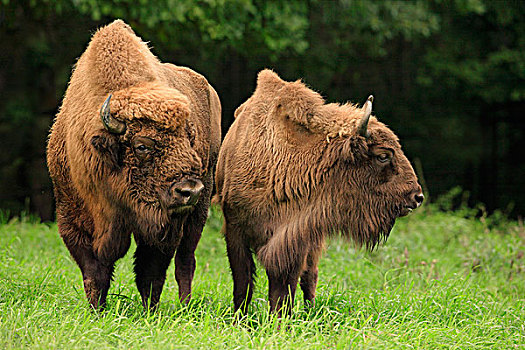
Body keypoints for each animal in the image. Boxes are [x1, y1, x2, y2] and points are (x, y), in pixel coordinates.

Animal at [46, 19, 220, 308]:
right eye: (142, 146)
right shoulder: (72, 219)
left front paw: (150, 310)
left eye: (190, 139)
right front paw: (97, 310)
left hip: (199, 211)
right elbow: (95, 272)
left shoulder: (166, 225)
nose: (189, 190)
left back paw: (185, 306)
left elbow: (150, 272)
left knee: (186, 261)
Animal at [215, 69, 424, 314]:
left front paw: (280, 319)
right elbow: (243, 282)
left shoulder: (296, 237)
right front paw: (241, 317)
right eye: (383, 155)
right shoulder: (235, 231)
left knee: (310, 277)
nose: (417, 196)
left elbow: (285, 287)